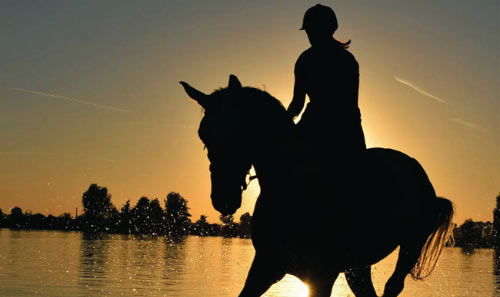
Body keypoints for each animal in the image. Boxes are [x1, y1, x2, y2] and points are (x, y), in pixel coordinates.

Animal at [180, 74, 454, 296]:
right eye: (203, 135)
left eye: (242, 132)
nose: (223, 199)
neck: (292, 190)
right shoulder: (266, 266)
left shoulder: (321, 276)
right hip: (357, 267)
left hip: (411, 245)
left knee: (393, 286)